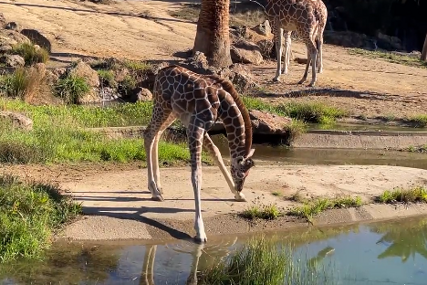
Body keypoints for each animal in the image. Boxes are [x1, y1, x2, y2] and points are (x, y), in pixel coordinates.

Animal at [144, 64, 258, 242]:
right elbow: (196, 174)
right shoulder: (196, 127)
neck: (222, 104)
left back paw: (158, 186)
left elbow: (216, 153)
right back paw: (154, 191)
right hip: (162, 106)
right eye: (241, 174)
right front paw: (200, 230)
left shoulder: (200, 126)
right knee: (148, 134)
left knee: (157, 134)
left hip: (172, 111)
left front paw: (238, 195)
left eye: (247, 175)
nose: (239, 187)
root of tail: (161, 72)